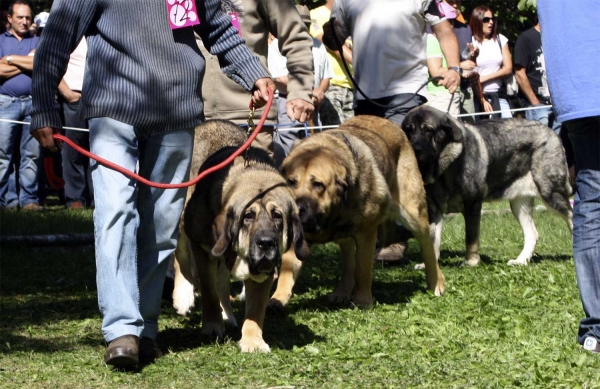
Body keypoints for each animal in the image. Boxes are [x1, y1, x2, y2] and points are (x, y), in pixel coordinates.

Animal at [171, 120, 308, 352]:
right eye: (248, 216)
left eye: (278, 216)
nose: (266, 243)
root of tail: (208, 122)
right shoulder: (202, 249)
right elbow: (208, 291)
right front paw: (212, 326)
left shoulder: (265, 270)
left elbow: (256, 308)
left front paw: (253, 340)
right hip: (180, 217)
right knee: (180, 256)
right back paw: (184, 295)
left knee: (222, 282)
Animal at [270, 113, 442, 308]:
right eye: (291, 182)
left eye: (318, 184)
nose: (297, 208)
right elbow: (286, 270)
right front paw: (277, 299)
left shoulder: (367, 233)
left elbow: (362, 269)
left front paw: (362, 301)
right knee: (348, 261)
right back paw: (342, 292)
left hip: (413, 214)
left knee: (428, 247)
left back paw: (437, 283)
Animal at [400, 104, 568, 266]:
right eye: (409, 130)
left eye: (428, 130)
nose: (414, 149)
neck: (445, 167)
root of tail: (550, 132)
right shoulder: (434, 210)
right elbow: (433, 241)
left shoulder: (472, 205)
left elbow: (471, 238)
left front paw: (471, 262)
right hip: (519, 204)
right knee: (532, 233)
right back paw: (521, 261)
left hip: (551, 193)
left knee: (570, 218)